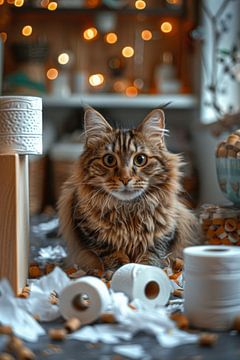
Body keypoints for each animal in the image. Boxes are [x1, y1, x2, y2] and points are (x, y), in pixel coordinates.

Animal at [57, 107, 201, 272]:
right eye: (109, 160)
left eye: (140, 159)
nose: (125, 179)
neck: (128, 210)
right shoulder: (86, 227)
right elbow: (109, 252)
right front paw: (119, 270)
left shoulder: (165, 231)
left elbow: (152, 254)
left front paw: (145, 270)